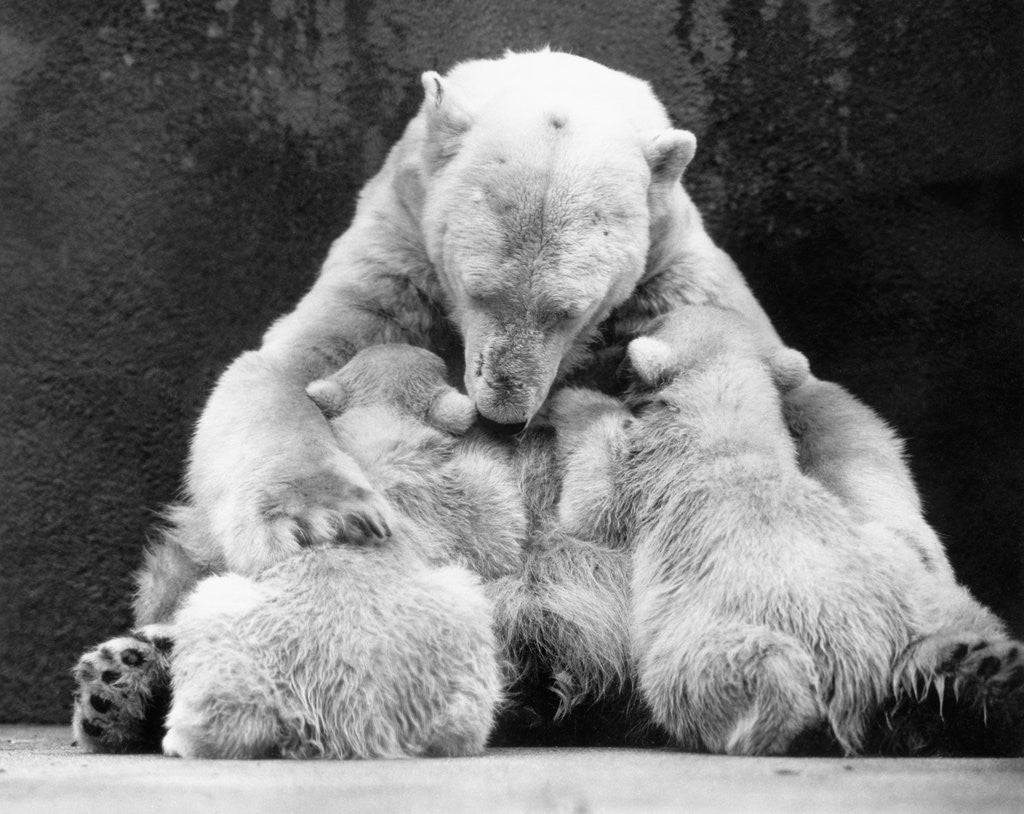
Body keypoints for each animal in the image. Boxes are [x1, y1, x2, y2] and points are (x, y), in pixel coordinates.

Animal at [547, 305, 1024, 755]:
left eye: (649, 323)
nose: (614, 340)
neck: (727, 428)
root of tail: (866, 665)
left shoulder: (649, 479)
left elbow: (591, 501)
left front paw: (570, 400)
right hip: (915, 590)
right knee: (962, 619)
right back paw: (986, 674)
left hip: (723, 634)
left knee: (724, 671)